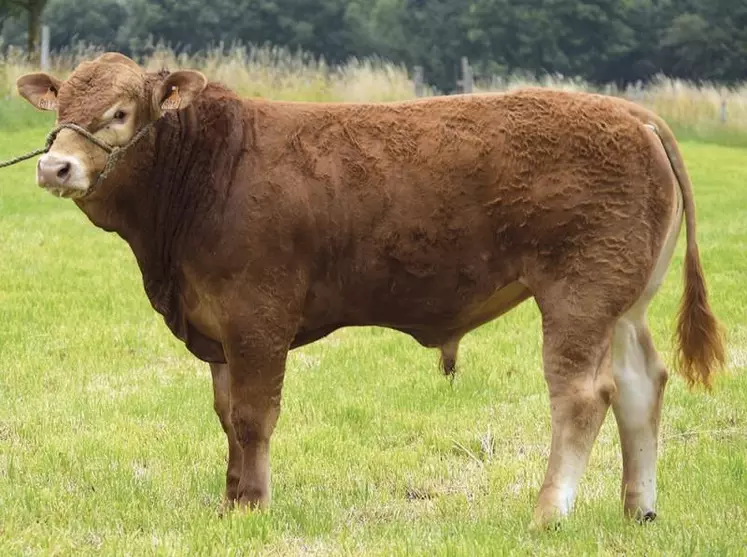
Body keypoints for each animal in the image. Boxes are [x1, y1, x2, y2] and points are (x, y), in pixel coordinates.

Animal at [16, 52, 724, 524]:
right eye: (59, 108)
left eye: (119, 113)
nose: (56, 166)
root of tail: (633, 113)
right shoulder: (217, 323)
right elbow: (226, 414)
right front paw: (230, 499)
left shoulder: (257, 314)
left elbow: (253, 414)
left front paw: (254, 506)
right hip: (623, 301)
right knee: (640, 385)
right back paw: (639, 509)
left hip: (580, 290)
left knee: (583, 394)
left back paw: (548, 513)